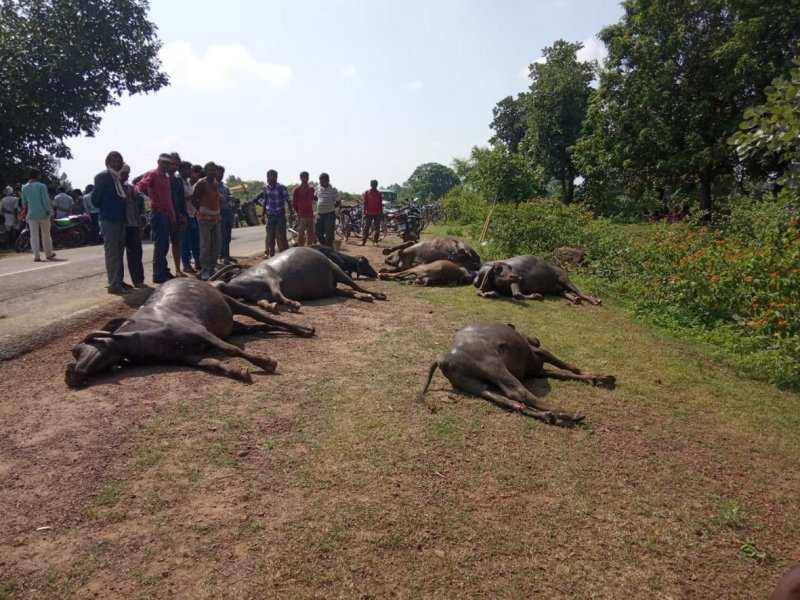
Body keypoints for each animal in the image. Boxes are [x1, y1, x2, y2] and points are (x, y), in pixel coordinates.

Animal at [65, 278, 315, 388]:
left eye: (78, 349)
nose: (71, 375)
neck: (143, 340)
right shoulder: (188, 357)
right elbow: (214, 364)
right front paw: (239, 372)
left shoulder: (200, 332)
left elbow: (231, 350)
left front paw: (265, 362)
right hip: (233, 327)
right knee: (262, 327)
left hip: (231, 302)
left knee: (267, 319)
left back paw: (304, 330)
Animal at [212, 246, 386, 313]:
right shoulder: (258, 297)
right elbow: (264, 302)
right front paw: (271, 307)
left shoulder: (271, 277)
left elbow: (277, 293)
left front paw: (293, 304)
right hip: (331, 289)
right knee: (348, 293)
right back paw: (365, 297)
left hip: (337, 271)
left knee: (356, 287)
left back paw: (376, 294)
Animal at [419, 322, 615, 427]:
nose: (536, 338)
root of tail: (443, 358)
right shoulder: (541, 353)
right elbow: (567, 366)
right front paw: (600, 377)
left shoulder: (538, 371)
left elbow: (564, 373)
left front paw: (596, 378)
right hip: (494, 366)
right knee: (519, 394)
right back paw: (566, 413)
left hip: (475, 385)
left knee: (508, 401)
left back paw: (554, 417)